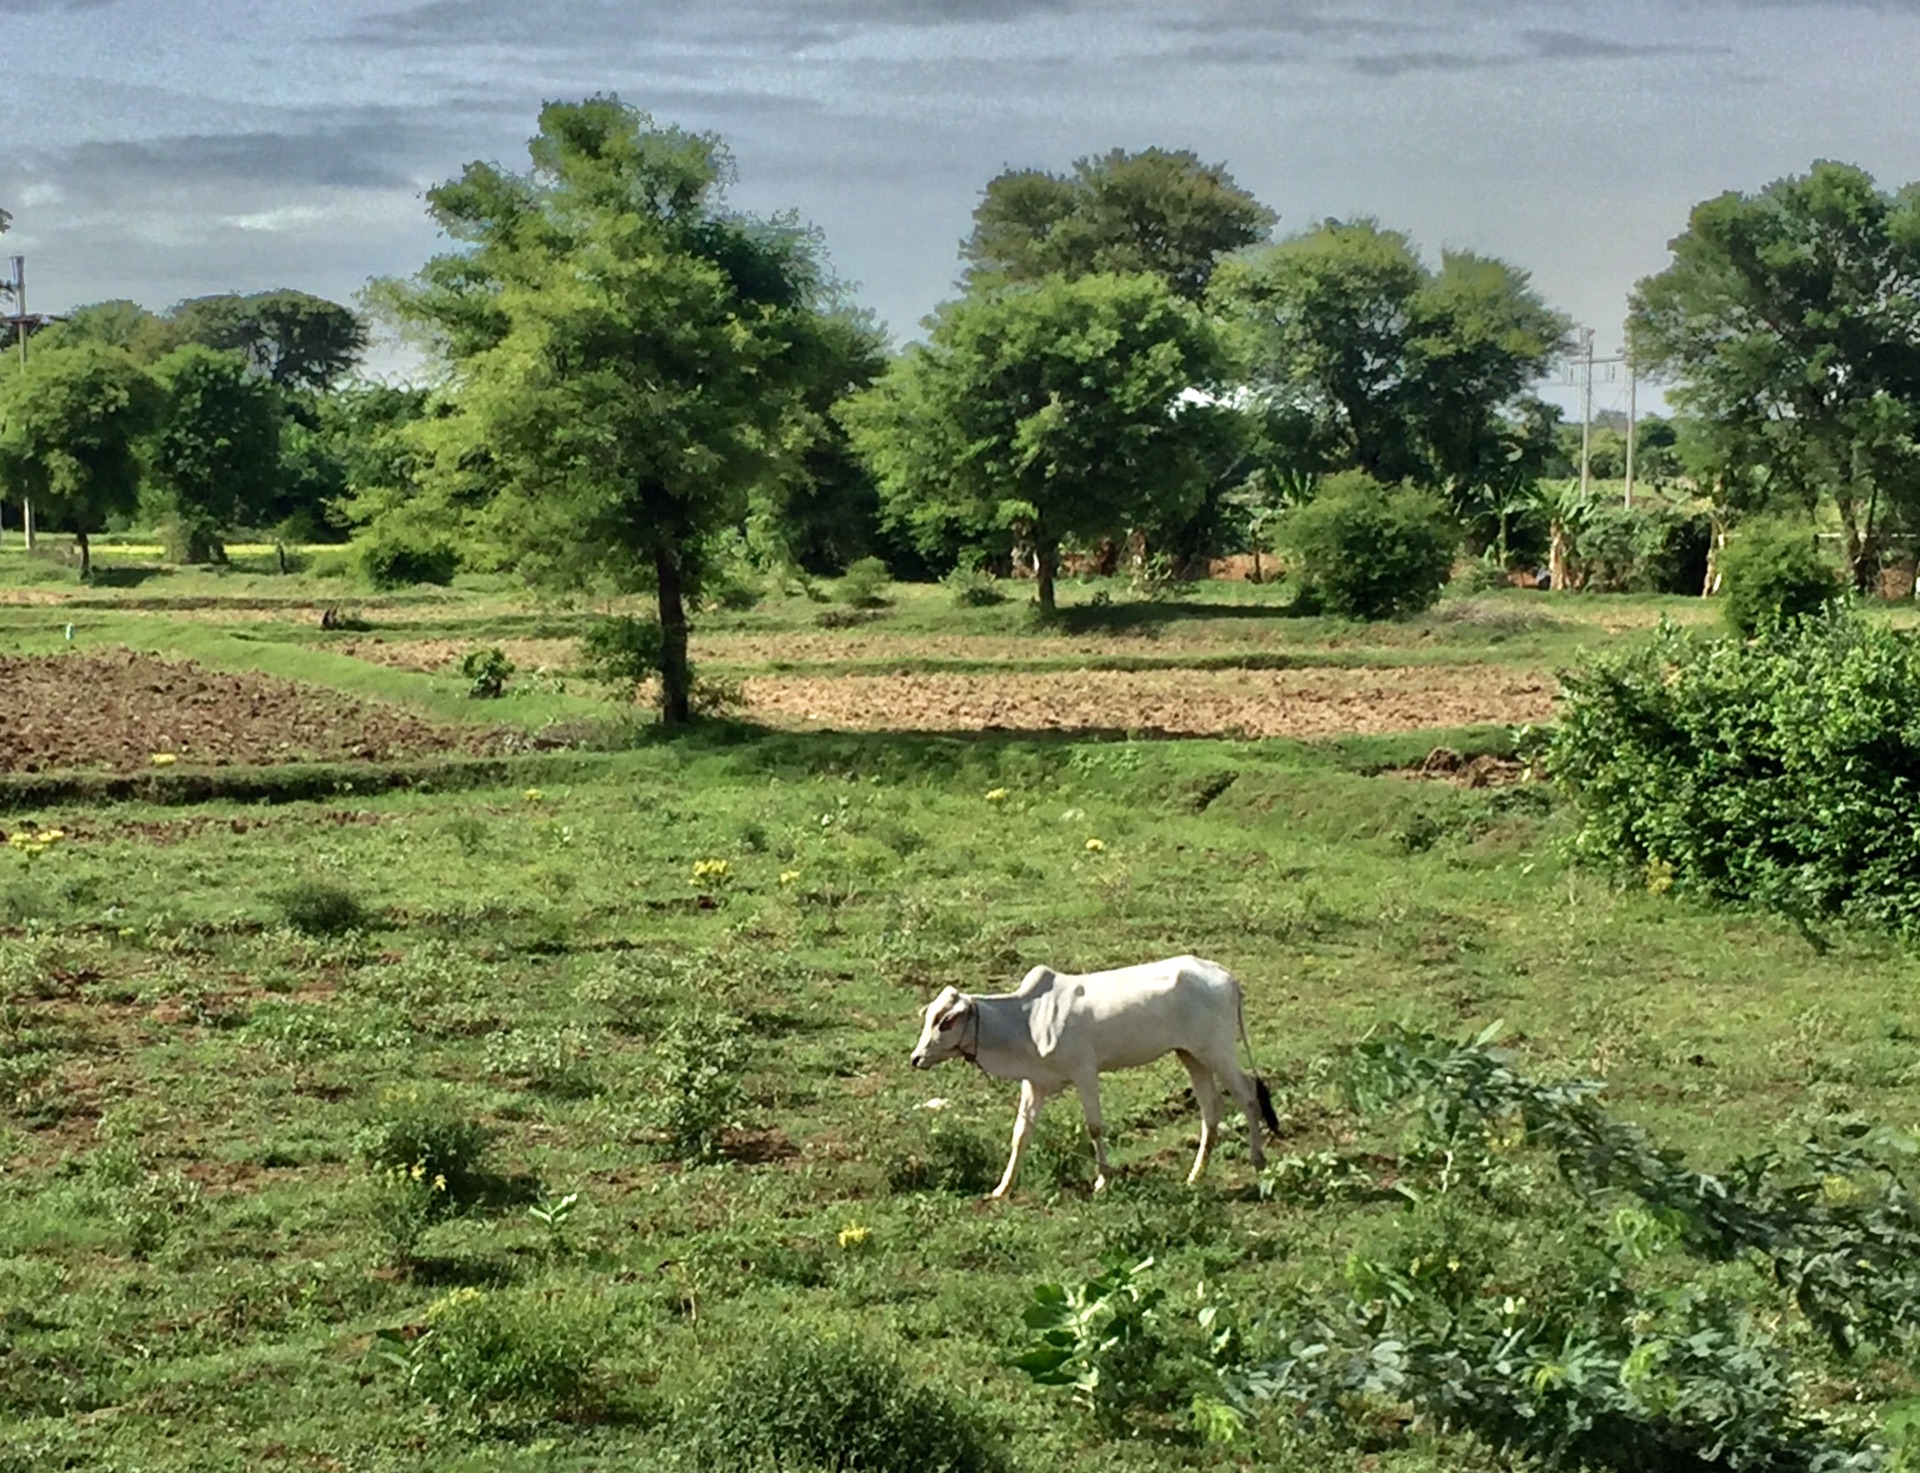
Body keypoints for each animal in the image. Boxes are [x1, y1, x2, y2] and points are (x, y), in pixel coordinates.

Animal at [910, 956, 1282, 1198]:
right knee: (1211, 1109)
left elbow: (1095, 1127)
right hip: (1190, 1055)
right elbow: (1020, 1133)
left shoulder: (1084, 1072)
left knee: (1248, 1094)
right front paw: (1002, 1188)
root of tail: (1225, 976)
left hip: (1217, 1050)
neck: (1028, 1019)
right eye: (929, 1017)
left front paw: (1103, 1180)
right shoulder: (1034, 1084)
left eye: (946, 1021)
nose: (916, 1058)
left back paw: (1258, 1160)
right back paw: (1195, 1175)